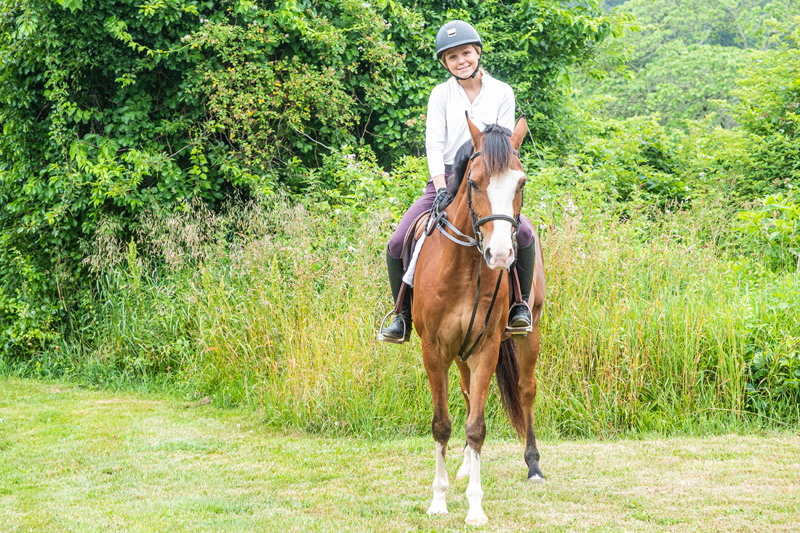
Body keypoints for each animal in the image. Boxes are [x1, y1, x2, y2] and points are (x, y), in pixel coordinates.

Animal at [412, 115, 546, 525]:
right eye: (473, 182)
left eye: (521, 182)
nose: (500, 254)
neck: (465, 267)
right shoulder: (434, 350)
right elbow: (442, 425)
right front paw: (438, 501)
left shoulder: (486, 347)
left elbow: (476, 427)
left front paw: (474, 508)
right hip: (460, 354)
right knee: (469, 392)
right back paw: (466, 467)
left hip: (527, 335)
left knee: (525, 390)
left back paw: (533, 466)